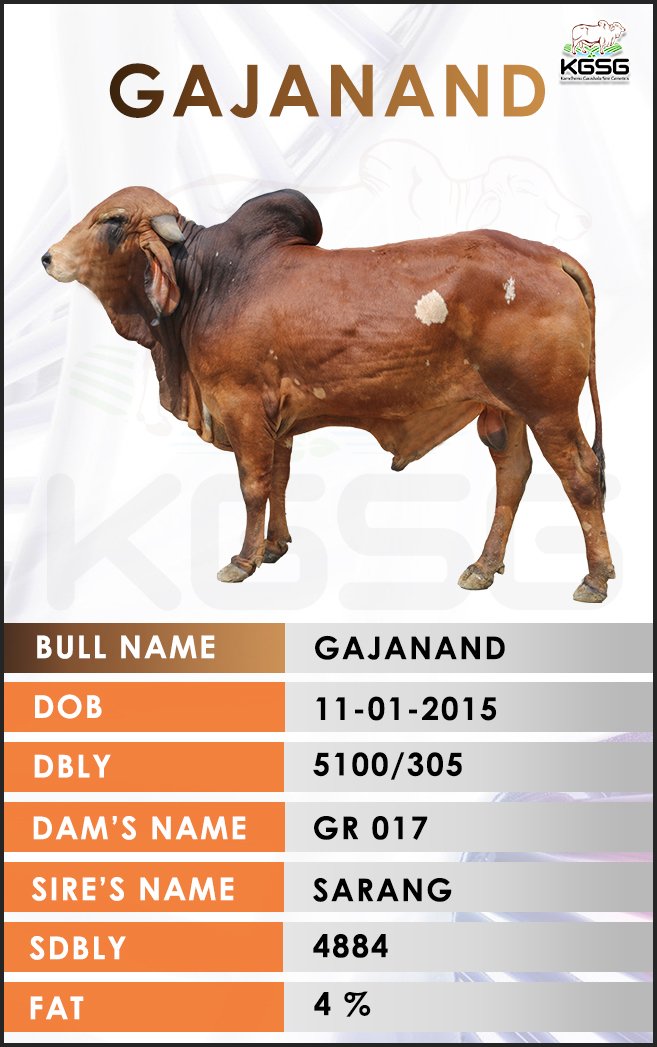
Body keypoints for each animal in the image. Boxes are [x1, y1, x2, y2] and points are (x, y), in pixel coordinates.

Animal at [42, 186, 615, 602]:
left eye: (112, 220)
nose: (47, 258)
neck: (207, 282)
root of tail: (549, 255)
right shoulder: (279, 420)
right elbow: (279, 480)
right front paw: (274, 547)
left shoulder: (242, 407)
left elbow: (253, 485)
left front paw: (243, 560)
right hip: (505, 409)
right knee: (513, 474)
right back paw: (484, 566)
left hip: (549, 408)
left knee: (582, 477)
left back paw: (595, 578)